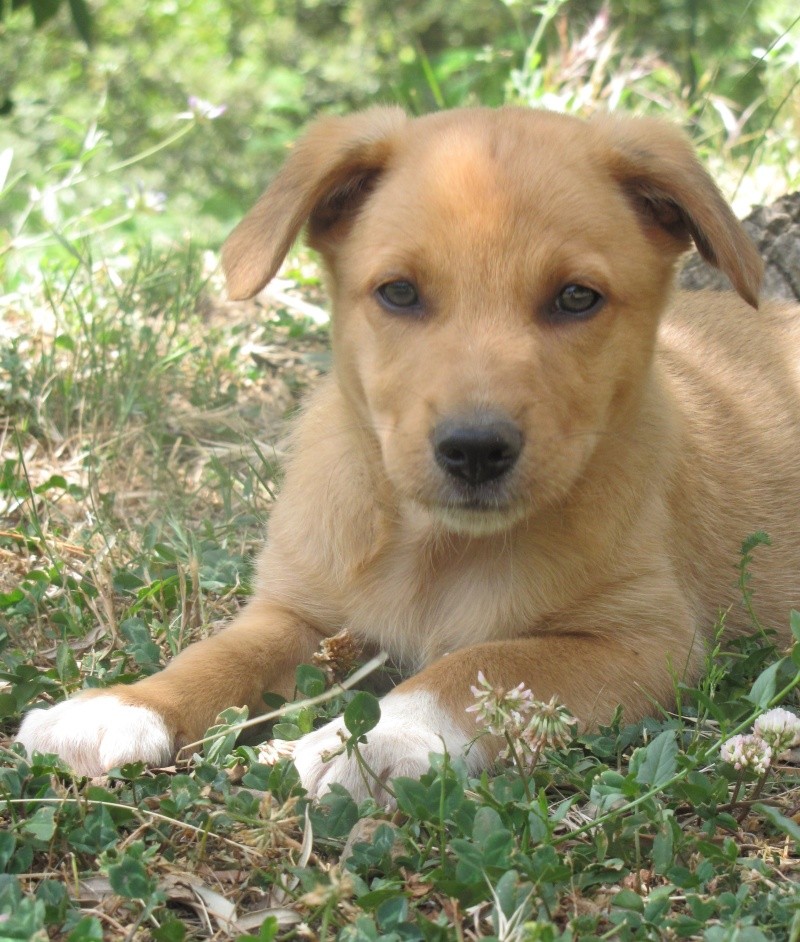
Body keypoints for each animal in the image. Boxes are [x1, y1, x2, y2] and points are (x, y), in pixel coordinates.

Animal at [14, 105, 800, 796]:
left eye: (577, 298)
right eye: (398, 292)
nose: (475, 450)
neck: (433, 549)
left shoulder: (642, 640)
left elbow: (483, 666)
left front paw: (380, 738)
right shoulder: (300, 611)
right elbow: (221, 652)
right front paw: (122, 704)